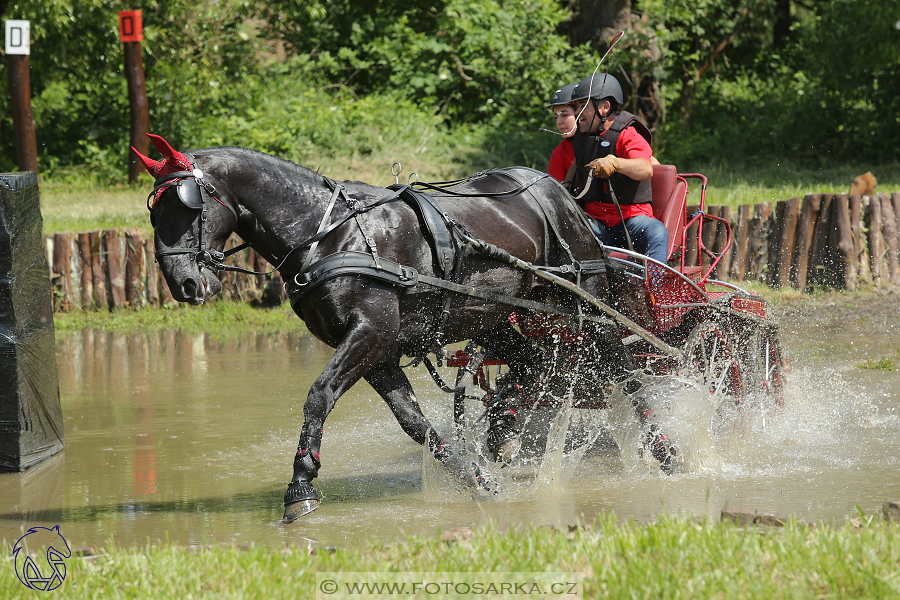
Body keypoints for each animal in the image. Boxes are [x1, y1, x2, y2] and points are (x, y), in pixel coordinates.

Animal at [132, 135, 640, 520]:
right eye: (153, 211)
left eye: (186, 206)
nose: (181, 283)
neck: (330, 235)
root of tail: (555, 189)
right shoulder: (378, 353)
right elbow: (416, 425)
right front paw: (475, 477)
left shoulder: (369, 335)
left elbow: (318, 396)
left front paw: (300, 486)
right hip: (494, 318)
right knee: (534, 367)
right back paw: (503, 426)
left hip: (589, 307)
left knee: (625, 370)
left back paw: (655, 443)